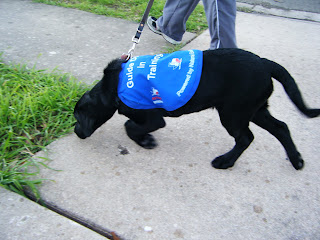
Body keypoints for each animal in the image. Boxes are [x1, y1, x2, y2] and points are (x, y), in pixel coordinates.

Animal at [74, 47, 318, 170]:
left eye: (77, 117)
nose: (76, 132)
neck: (114, 86)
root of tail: (264, 62)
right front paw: (145, 139)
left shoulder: (153, 118)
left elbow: (129, 126)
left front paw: (145, 141)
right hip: (255, 109)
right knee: (281, 128)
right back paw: (296, 160)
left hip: (233, 113)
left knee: (246, 138)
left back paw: (225, 161)